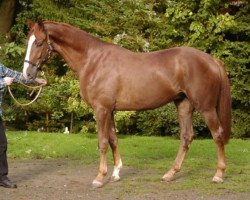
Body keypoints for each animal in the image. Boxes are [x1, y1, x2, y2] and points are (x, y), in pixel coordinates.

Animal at [23, 20, 230, 188]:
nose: (27, 74)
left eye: (39, 43)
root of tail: (212, 60)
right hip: (184, 105)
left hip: (206, 108)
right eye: (28, 42)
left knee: (217, 134)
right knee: (187, 137)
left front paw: (100, 177)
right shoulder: (110, 110)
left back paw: (219, 175)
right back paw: (170, 174)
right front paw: (115, 173)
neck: (93, 60)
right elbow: (113, 139)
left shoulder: (101, 110)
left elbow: (102, 142)